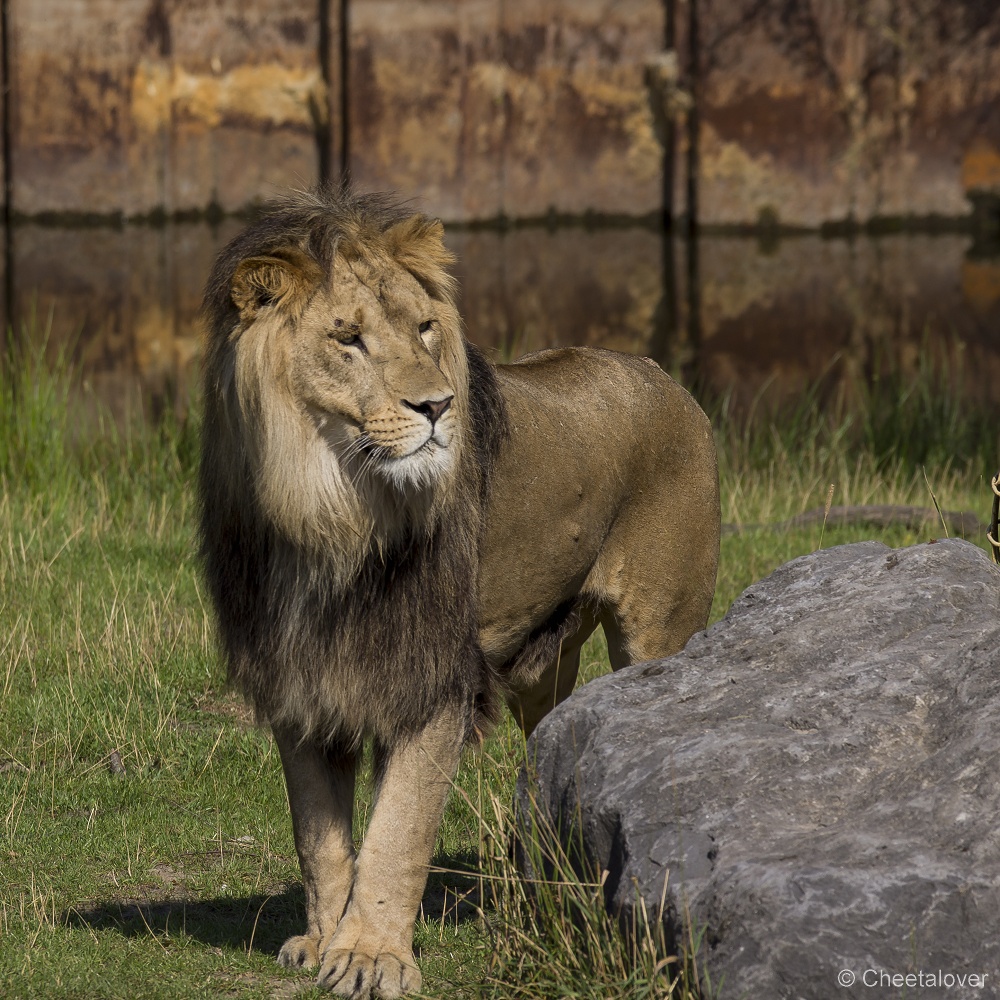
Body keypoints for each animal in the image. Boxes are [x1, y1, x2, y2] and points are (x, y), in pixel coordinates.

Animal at [199, 186, 724, 992]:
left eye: (423, 328)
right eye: (347, 339)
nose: (439, 406)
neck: (330, 516)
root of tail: (664, 375)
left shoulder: (435, 680)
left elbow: (397, 830)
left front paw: (371, 957)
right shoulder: (300, 681)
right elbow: (318, 836)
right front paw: (321, 940)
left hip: (659, 630)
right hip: (543, 666)